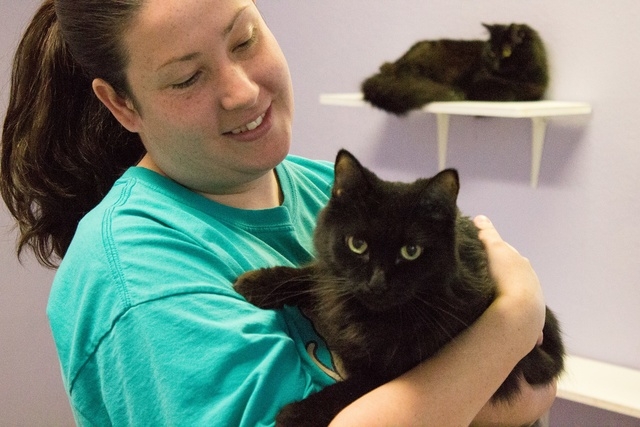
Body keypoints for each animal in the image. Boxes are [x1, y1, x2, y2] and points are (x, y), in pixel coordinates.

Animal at [232, 149, 564, 426]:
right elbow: (311, 275)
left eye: (411, 251)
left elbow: (352, 388)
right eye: (357, 244)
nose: (377, 284)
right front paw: (260, 283)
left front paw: (297, 414)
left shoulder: (399, 367)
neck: (372, 317)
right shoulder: (335, 279)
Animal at [362, 23, 548, 113]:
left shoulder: (536, 91)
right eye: (491, 52)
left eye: (507, 51)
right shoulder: (478, 84)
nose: (494, 64)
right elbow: (507, 92)